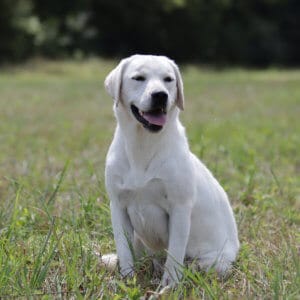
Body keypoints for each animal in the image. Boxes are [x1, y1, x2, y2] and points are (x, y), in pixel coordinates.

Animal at [103, 54, 239, 286]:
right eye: (138, 78)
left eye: (168, 79)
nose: (160, 95)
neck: (143, 146)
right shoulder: (118, 206)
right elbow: (124, 250)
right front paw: (128, 279)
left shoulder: (180, 208)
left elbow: (175, 253)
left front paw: (170, 285)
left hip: (215, 263)